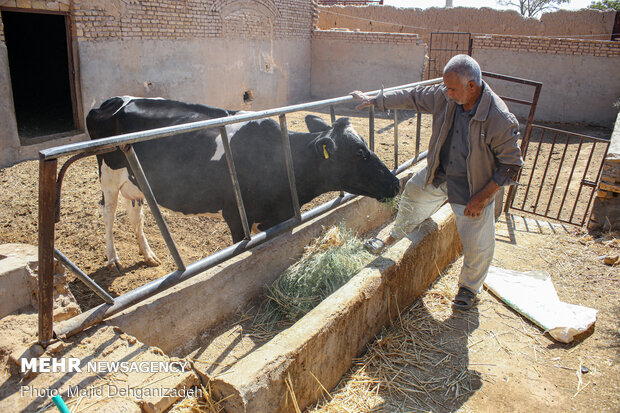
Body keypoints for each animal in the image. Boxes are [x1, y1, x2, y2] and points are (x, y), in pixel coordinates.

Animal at [85, 97, 400, 270]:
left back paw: (148, 255)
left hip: (136, 182)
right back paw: (113, 258)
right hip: (108, 174)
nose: (396, 183)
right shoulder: (236, 217)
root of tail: (112, 101)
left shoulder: (277, 217)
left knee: (136, 212)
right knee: (108, 212)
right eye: (359, 153)